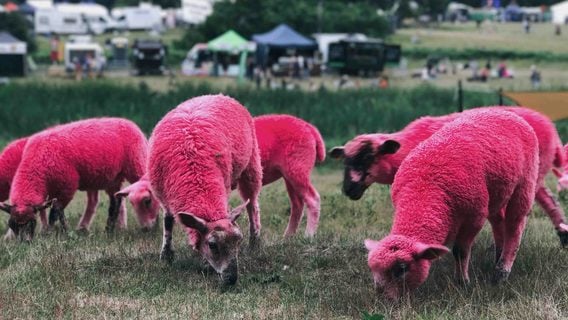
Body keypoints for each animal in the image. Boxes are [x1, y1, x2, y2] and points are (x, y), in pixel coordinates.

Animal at [0, 117, 155, 240]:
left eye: (31, 222)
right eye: (12, 224)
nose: (24, 242)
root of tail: (130, 123)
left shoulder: (68, 185)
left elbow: (55, 212)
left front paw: (57, 232)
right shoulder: (48, 192)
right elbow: (51, 211)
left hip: (136, 164)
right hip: (113, 178)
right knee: (115, 201)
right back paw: (108, 230)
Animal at [146, 93, 262, 284]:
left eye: (238, 240)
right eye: (212, 245)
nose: (232, 278)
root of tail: (218, 94)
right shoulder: (164, 196)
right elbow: (168, 221)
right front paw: (166, 255)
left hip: (251, 164)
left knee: (252, 204)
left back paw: (255, 240)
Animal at [332, 106, 568, 246]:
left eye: (368, 157)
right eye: (345, 160)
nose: (348, 189)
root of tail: (552, 130)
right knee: (549, 200)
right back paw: (562, 234)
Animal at [366, 109, 540, 300]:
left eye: (402, 269)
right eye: (373, 269)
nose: (383, 299)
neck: (424, 189)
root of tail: (504, 111)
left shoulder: (475, 216)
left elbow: (460, 250)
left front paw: (462, 282)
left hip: (525, 181)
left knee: (515, 225)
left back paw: (501, 272)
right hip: (496, 193)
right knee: (499, 222)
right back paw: (498, 257)